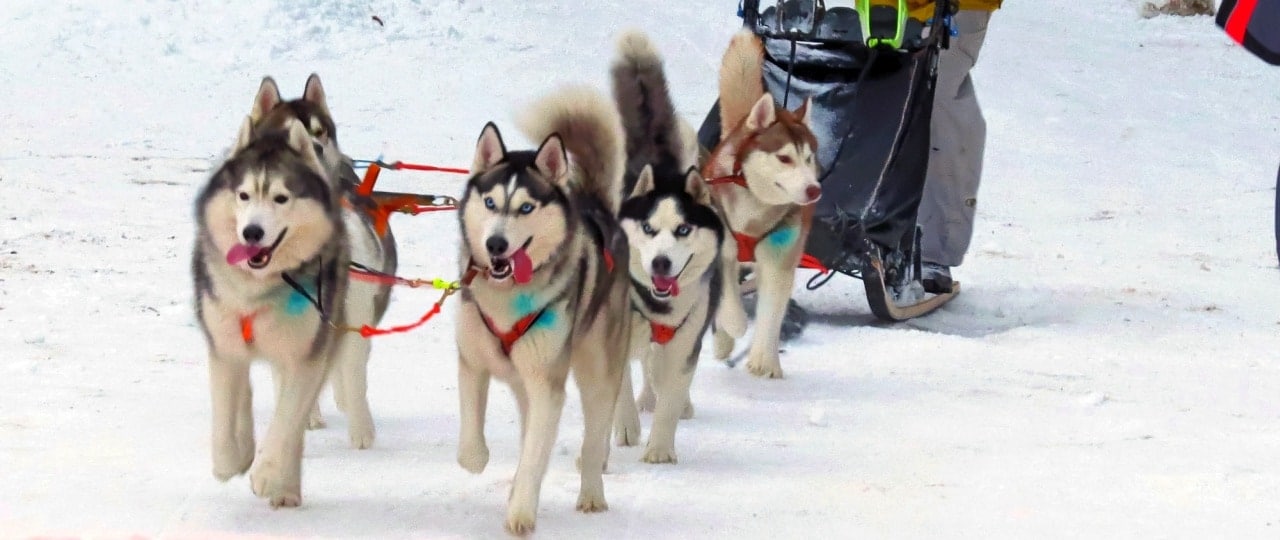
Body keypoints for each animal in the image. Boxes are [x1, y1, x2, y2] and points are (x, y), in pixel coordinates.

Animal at [193, 116, 355, 508]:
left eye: (281, 197)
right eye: (243, 195)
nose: (252, 232)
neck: (257, 290)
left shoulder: (306, 356)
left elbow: (287, 420)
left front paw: (268, 474)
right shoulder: (223, 348)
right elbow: (225, 416)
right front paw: (230, 460)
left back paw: (284, 485)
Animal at [246, 74, 398, 448]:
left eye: (320, 131)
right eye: (284, 131)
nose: (315, 148)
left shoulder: (356, 316)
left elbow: (353, 374)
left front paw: (362, 430)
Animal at [453, 85, 631, 535]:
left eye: (526, 208)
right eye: (490, 202)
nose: (496, 245)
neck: (506, 296)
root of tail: (598, 207)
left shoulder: (548, 385)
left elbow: (536, 457)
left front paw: (521, 512)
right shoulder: (472, 360)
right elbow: (470, 441)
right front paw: (479, 459)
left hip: (596, 370)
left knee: (593, 437)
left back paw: (591, 494)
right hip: (524, 380)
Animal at [607, 29, 748, 464]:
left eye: (684, 229)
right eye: (648, 229)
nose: (661, 264)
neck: (657, 308)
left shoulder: (686, 341)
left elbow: (671, 392)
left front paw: (660, 448)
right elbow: (620, 387)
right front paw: (627, 426)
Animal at [703, 29, 822, 380]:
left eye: (808, 158)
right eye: (784, 158)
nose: (814, 189)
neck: (755, 208)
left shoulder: (780, 256)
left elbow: (771, 313)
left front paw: (763, 361)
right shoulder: (722, 251)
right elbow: (729, 302)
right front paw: (732, 328)